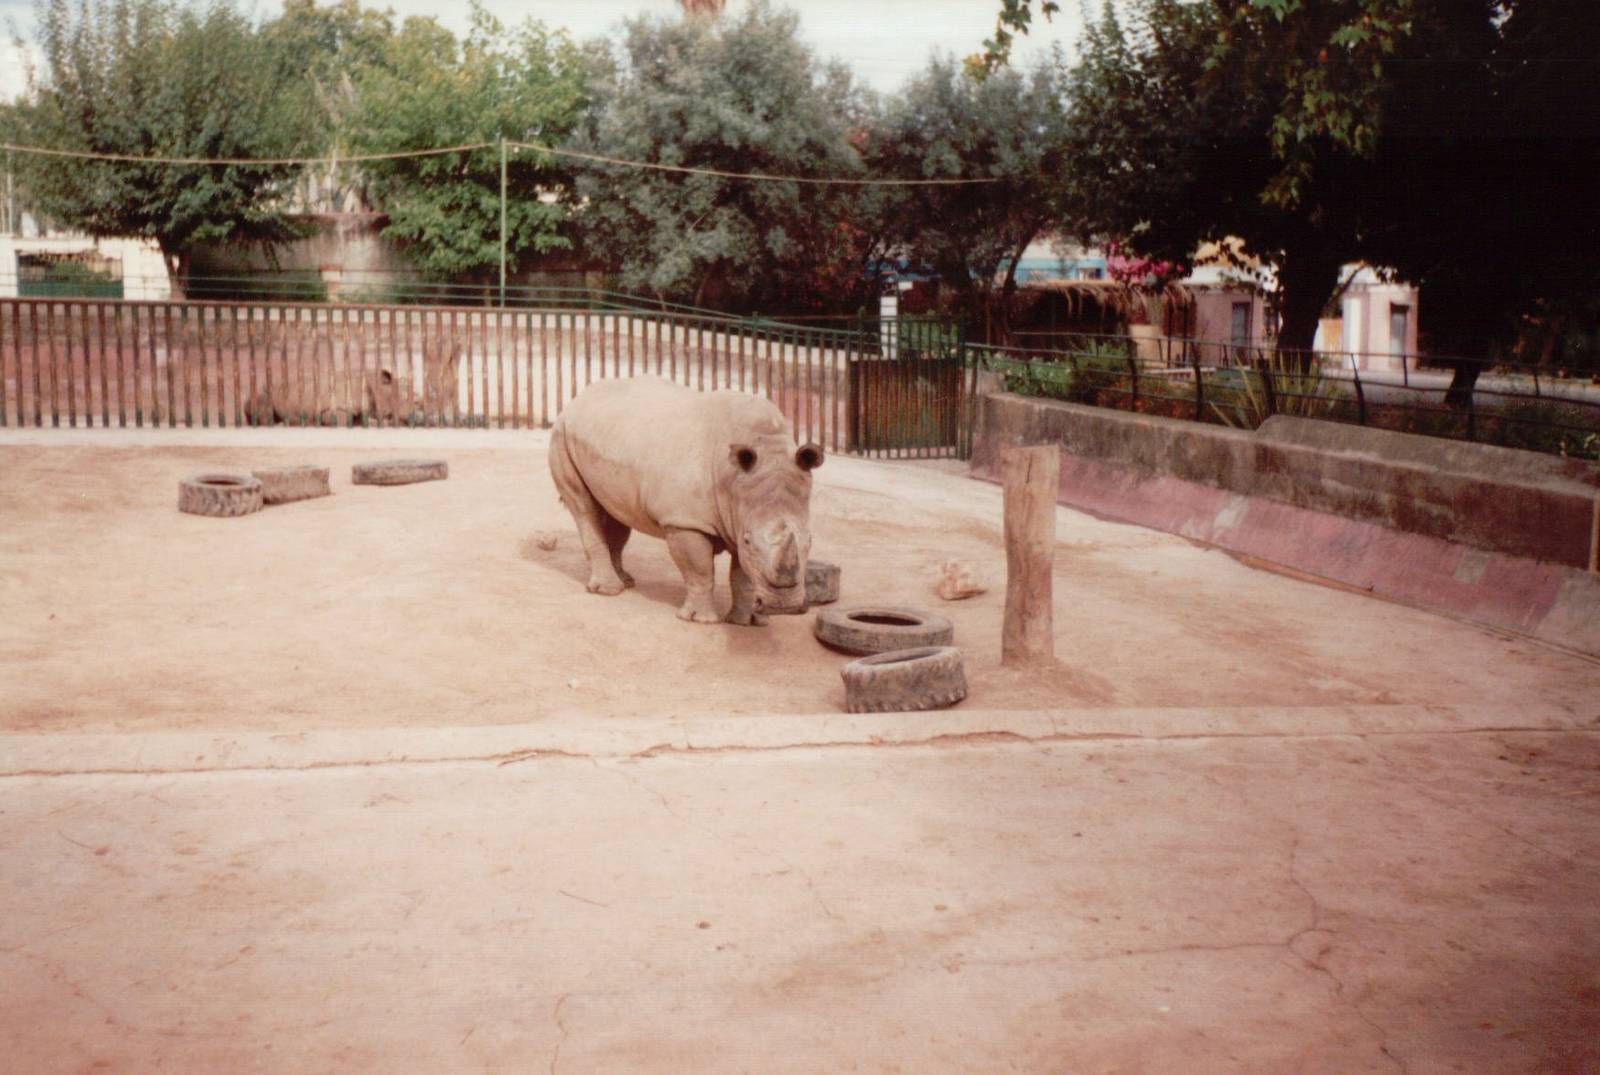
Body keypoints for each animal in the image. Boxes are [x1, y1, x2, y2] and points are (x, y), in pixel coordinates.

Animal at [549, 376, 824, 625]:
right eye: (748, 540)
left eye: (810, 540)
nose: (784, 607)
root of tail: (580, 396)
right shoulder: (684, 521)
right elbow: (699, 569)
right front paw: (700, 620)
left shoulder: (740, 512)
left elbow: (743, 575)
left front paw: (746, 622)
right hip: (562, 435)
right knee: (584, 508)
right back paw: (609, 591)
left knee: (617, 511)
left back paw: (625, 581)